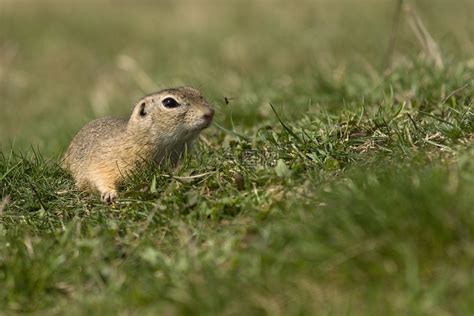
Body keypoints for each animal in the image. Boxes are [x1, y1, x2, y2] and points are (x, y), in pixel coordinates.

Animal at [62, 86, 214, 202]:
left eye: (197, 92)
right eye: (169, 102)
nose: (210, 113)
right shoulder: (106, 161)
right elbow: (102, 177)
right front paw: (109, 194)